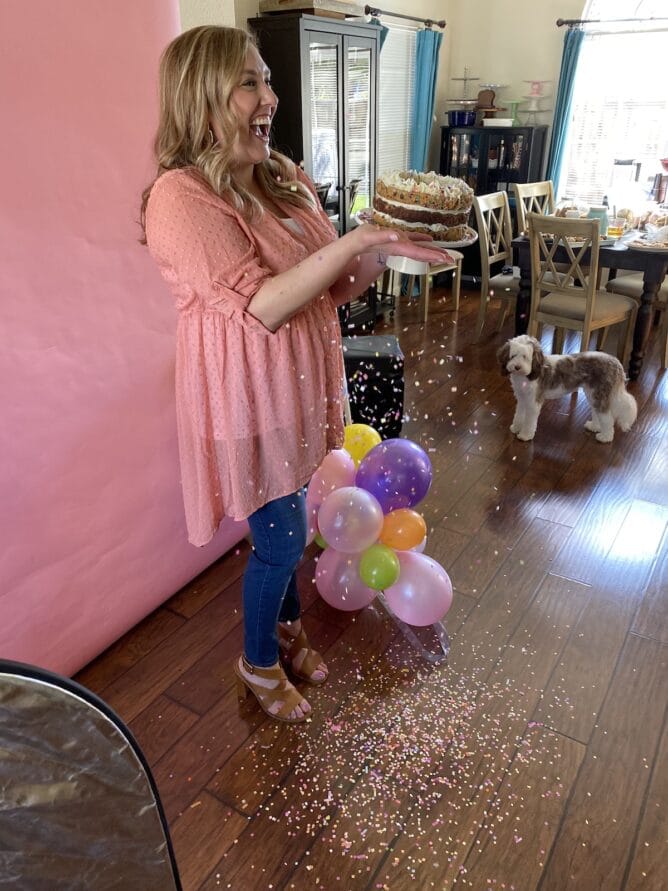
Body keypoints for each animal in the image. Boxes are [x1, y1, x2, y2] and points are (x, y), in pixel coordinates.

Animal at [496, 334, 636, 442]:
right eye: (513, 356)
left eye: (525, 357)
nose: (517, 367)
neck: (526, 376)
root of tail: (616, 363)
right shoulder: (522, 398)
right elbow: (519, 414)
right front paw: (516, 428)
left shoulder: (533, 402)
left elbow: (529, 421)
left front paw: (525, 435)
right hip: (593, 394)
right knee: (598, 413)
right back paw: (594, 426)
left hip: (600, 394)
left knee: (607, 418)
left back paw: (605, 437)